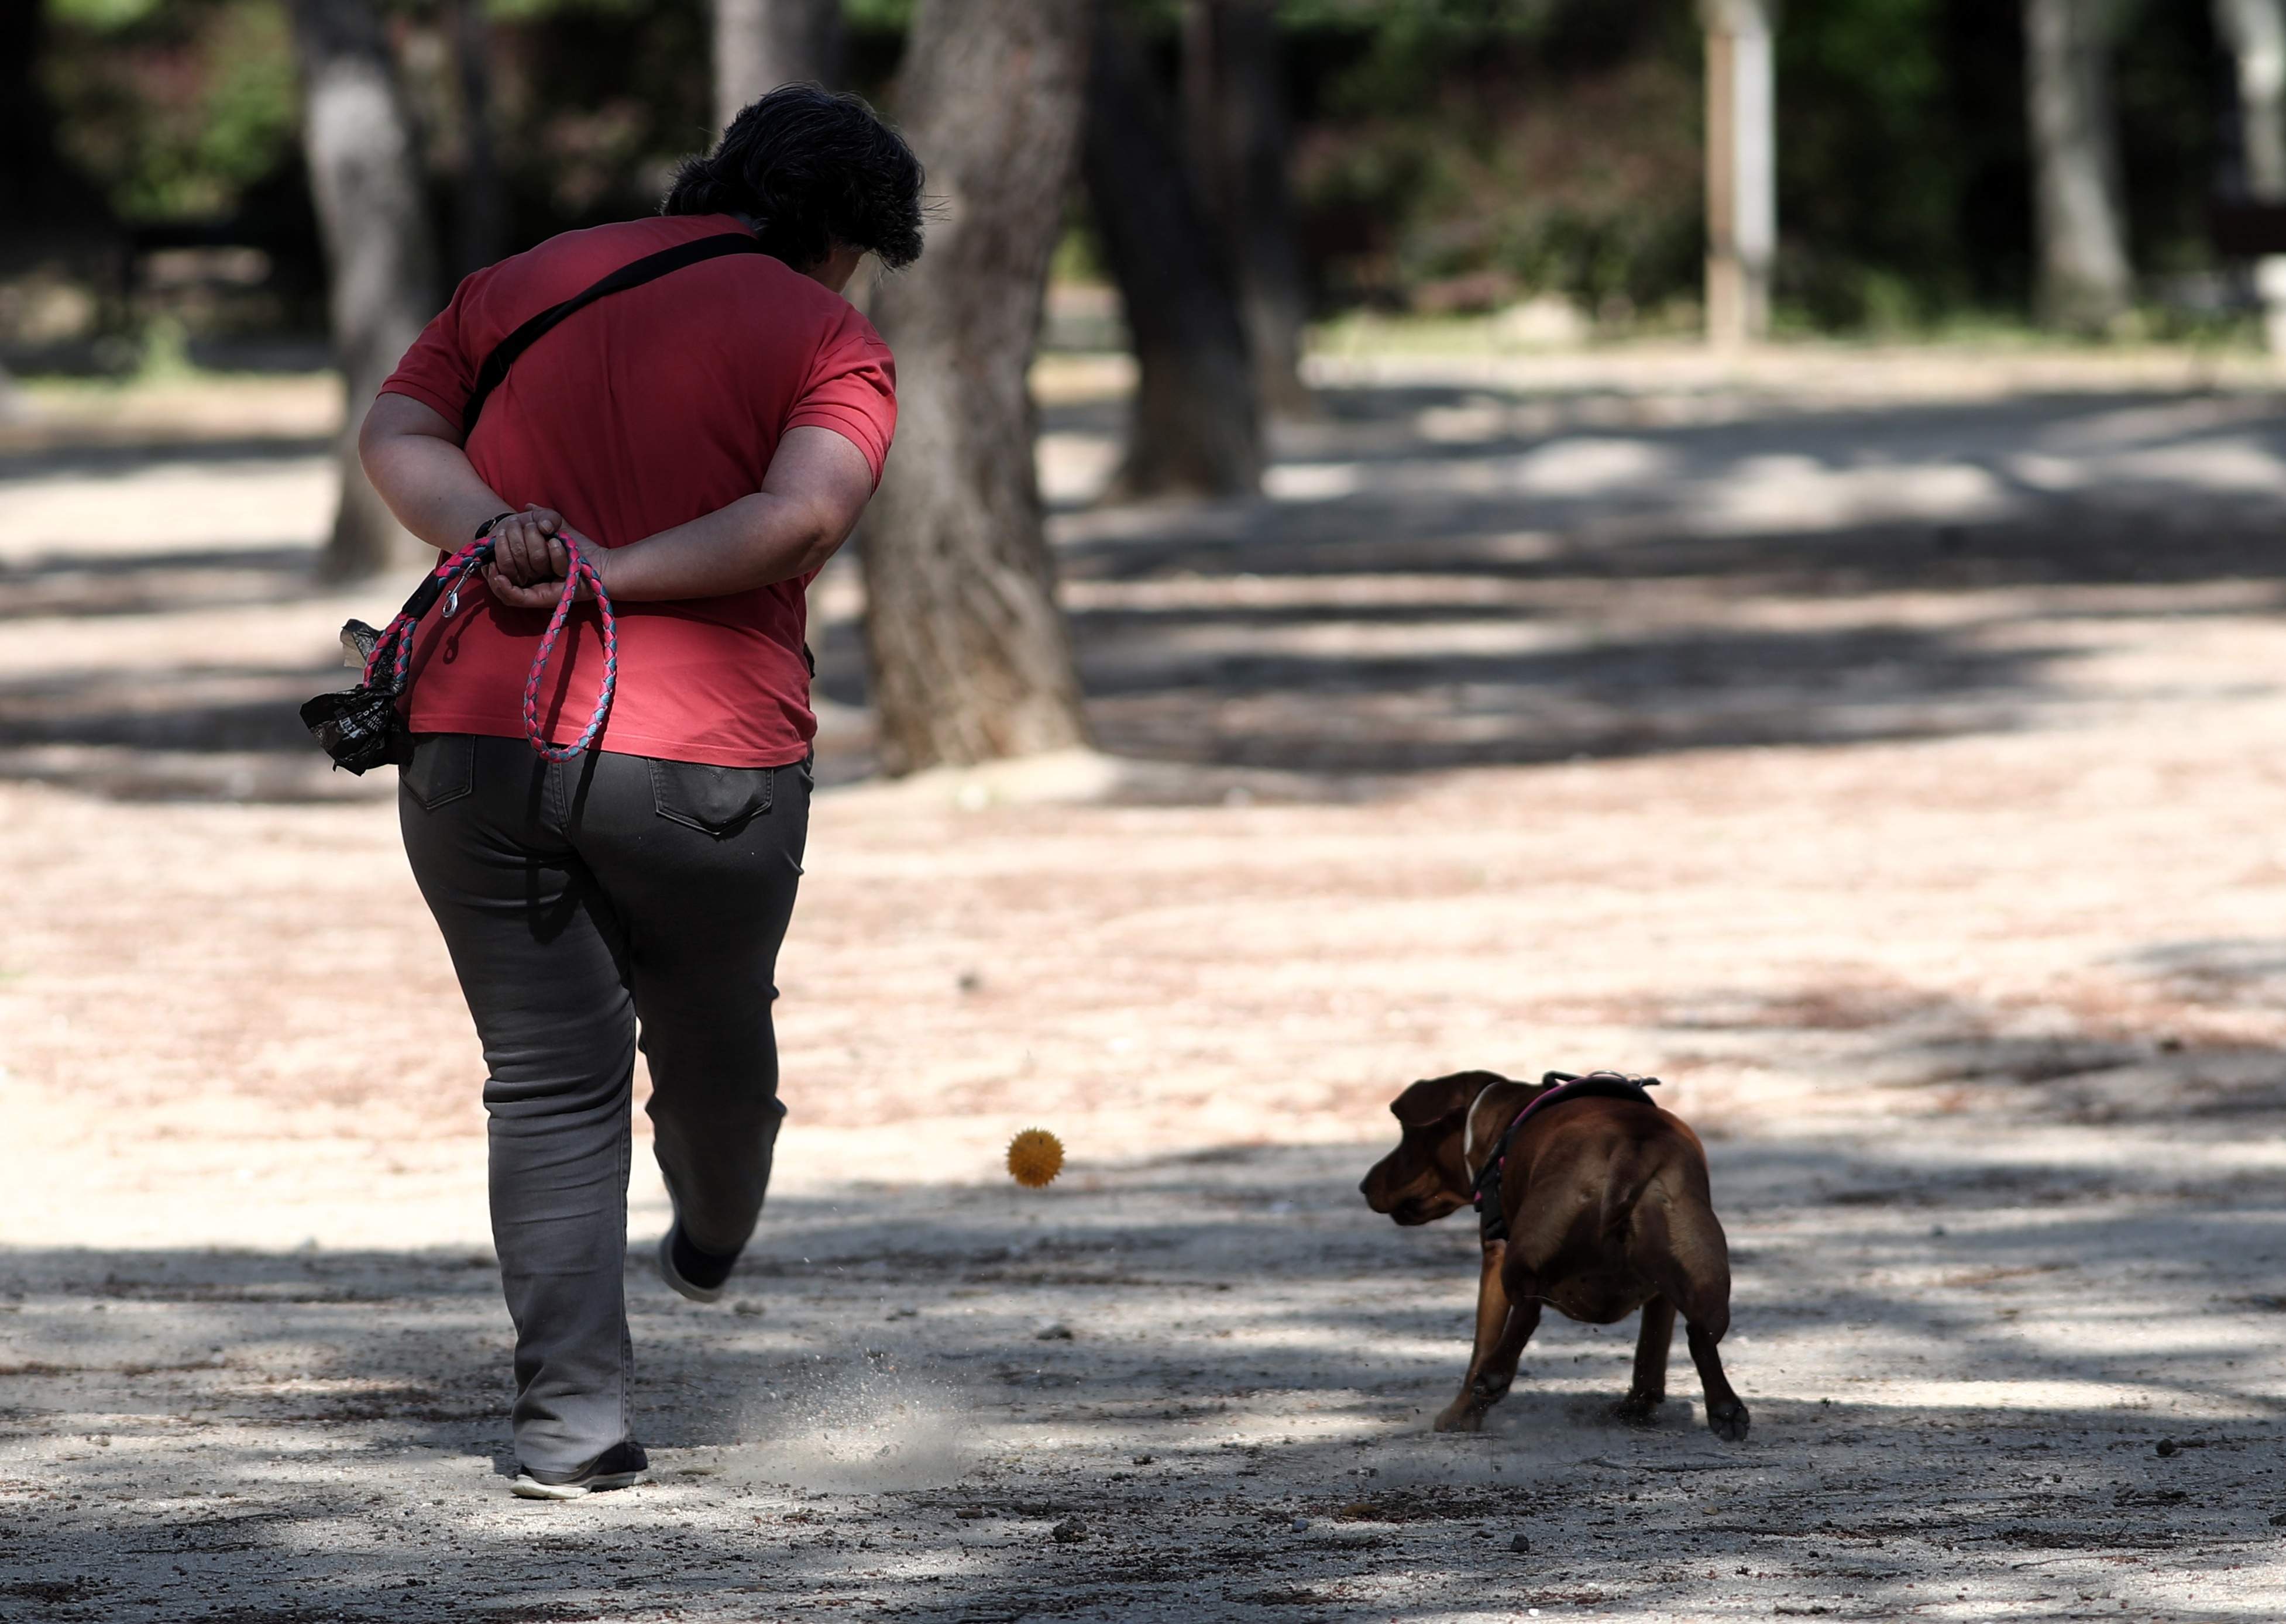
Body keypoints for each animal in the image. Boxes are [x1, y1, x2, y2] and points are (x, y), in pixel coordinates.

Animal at [1353, 1074, 1746, 1443]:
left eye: (1407, 1138)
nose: (1364, 1185)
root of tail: (1634, 1146)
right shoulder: (1661, 1294)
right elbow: (1652, 1351)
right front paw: (1639, 1407)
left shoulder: (1495, 1257)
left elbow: (1482, 1345)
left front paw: (1461, 1417)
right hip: (1707, 1273)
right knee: (1701, 1335)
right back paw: (1724, 1409)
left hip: (1524, 1251)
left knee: (1526, 1312)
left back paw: (1493, 1379)